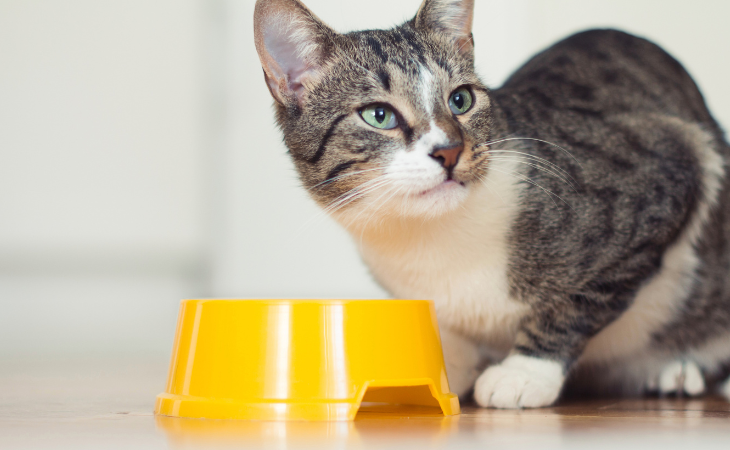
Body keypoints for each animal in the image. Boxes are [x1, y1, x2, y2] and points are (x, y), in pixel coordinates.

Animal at [252, 0, 728, 408]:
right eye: (378, 115)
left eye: (460, 99)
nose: (449, 151)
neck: (429, 239)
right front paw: (443, 371)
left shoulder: (670, 168)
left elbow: (574, 305)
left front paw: (524, 373)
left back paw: (678, 369)